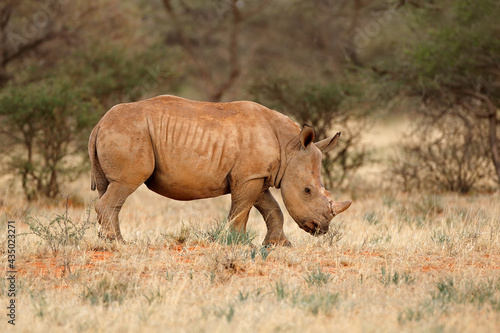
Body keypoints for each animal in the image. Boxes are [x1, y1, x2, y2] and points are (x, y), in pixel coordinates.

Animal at [88, 94, 352, 245]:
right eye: (307, 191)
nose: (320, 228)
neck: (291, 147)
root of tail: (98, 123)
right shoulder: (249, 177)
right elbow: (241, 210)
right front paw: (238, 244)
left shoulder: (256, 176)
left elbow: (272, 209)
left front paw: (278, 245)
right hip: (128, 132)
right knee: (124, 184)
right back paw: (118, 243)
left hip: (117, 131)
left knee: (108, 188)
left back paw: (110, 241)